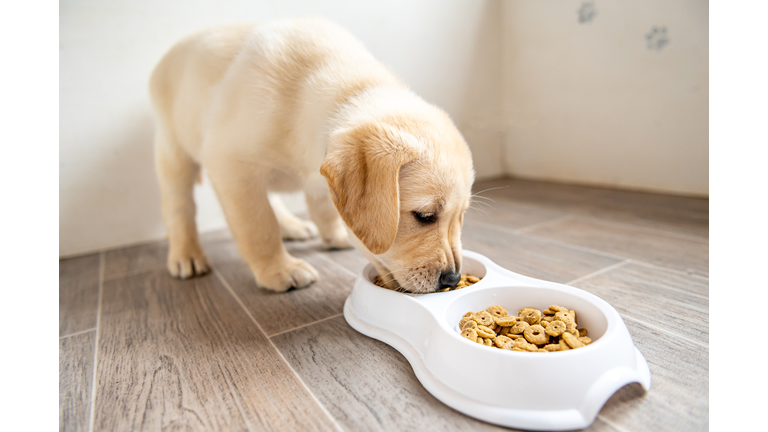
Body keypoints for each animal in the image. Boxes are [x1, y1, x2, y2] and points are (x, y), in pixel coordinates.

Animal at [149, 17, 474, 294]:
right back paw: (186, 254)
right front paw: (279, 269)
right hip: (173, 149)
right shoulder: (231, 164)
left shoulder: (320, 173)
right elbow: (259, 225)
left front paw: (334, 234)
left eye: (461, 216)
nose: (452, 279)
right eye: (424, 216)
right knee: (179, 205)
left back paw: (292, 226)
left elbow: (323, 207)